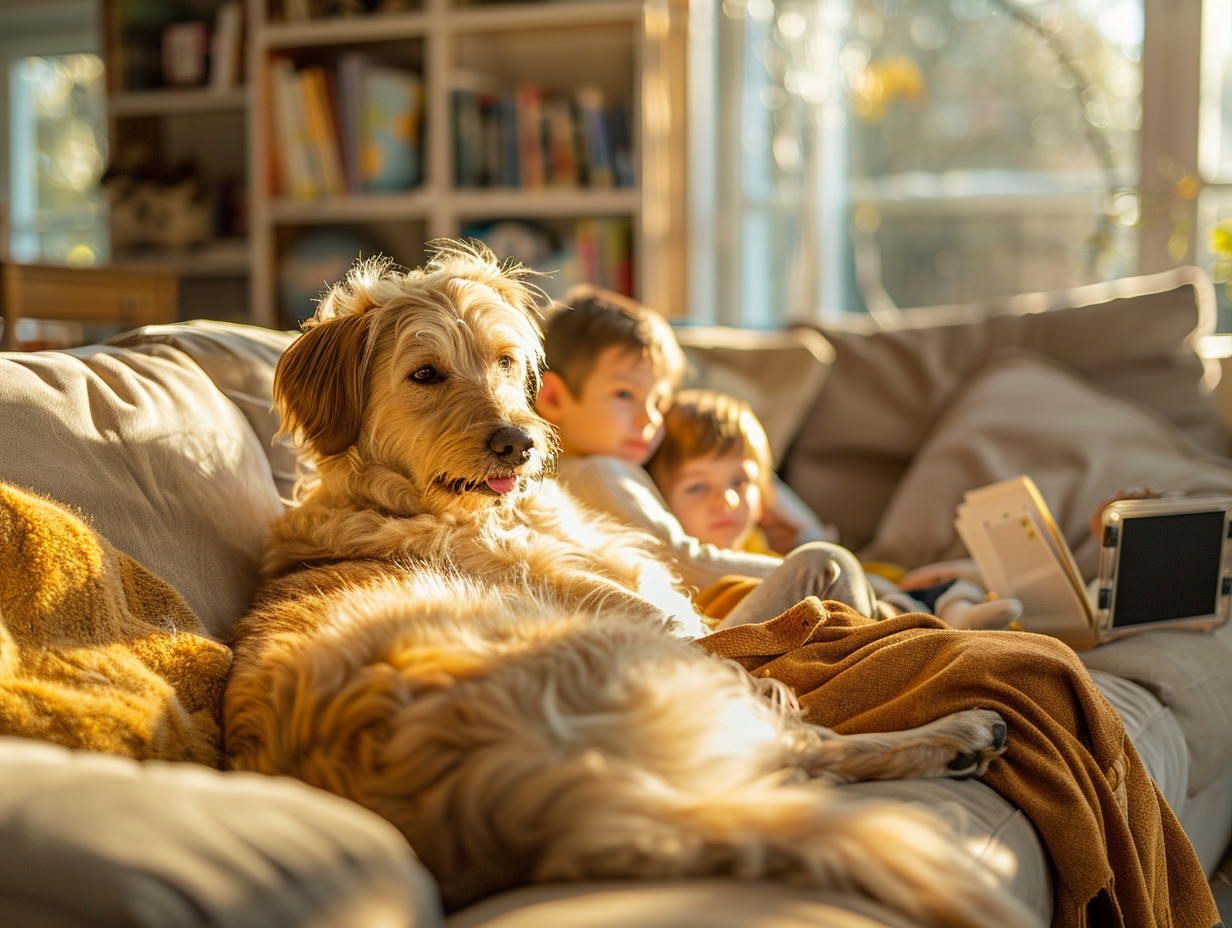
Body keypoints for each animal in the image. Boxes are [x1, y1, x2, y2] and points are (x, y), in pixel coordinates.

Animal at [224, 240, 1039, 926]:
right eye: (424, 374)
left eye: (504, 360)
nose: (518, 442)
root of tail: (531, 797)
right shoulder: (670, 626)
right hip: (639, 655)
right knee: (805, 746)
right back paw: (960, 732)